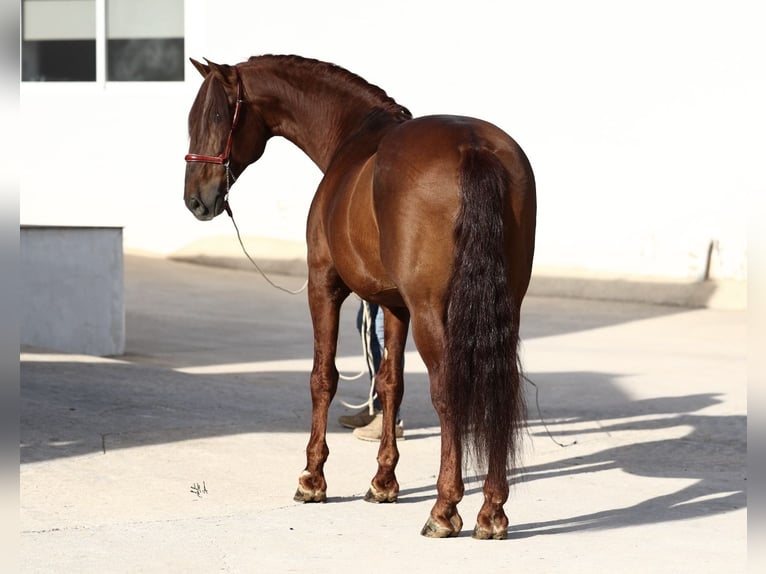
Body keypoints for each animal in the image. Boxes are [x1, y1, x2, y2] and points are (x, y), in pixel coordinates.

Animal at [184, 55, 536, 539]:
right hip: (506, 308)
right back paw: (492, 511)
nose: (196, 200)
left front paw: (312, 479)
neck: (352, 137)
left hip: (432, 312)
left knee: (448, 393)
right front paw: (384, 481)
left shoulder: (324, 286)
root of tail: (473, 147)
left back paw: (444, 509)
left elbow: (323, 377)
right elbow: (390, 383)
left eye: (217, 117)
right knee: (497, 389)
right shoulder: (394, 305)